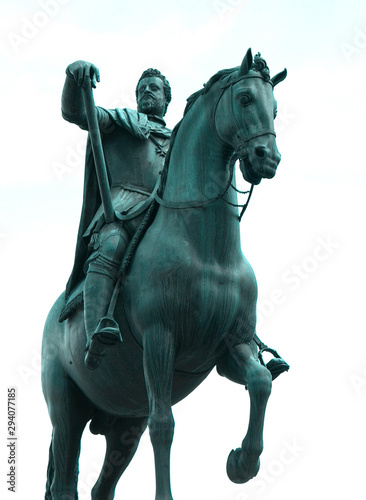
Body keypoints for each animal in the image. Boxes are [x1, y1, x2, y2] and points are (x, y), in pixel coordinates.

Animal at [42, 47, 288, 500]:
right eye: (245, 98)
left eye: (275, 107)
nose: (268, 158)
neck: (207, 251)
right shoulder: (160, 340)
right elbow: (164, 425)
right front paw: (81, 72)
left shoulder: (234, 342)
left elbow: (261, 381)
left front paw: (241, 463)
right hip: (65, 407)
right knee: (66, 479)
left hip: (124, 422)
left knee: (101, 487)